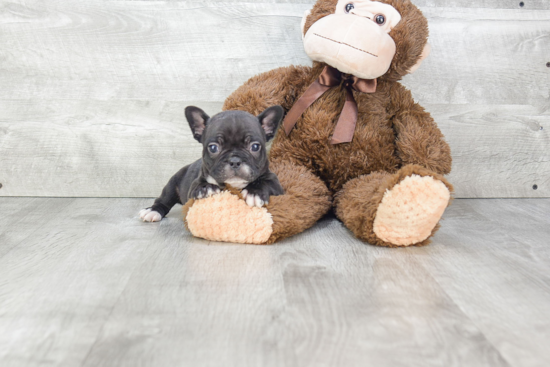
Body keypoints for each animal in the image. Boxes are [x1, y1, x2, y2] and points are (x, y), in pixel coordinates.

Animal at [140, 105, 286, 223]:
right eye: (213, 148)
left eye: (255, 147)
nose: (235, 161)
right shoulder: (194, 185)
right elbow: (199, 185)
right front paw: (206, 188)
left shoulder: (276, 184)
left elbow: (265, 182)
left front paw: (255, 192)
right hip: (172, 184)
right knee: (163, 200)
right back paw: (152, 211)